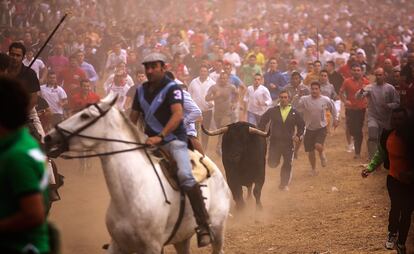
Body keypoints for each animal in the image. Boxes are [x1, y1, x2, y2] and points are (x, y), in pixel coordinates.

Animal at [46, 94, 233, 253]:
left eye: (85, 116)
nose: (48, 136)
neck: (132, 194)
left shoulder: (152, 247)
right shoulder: (118, 245)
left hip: (218, 230)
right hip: (182, 238)